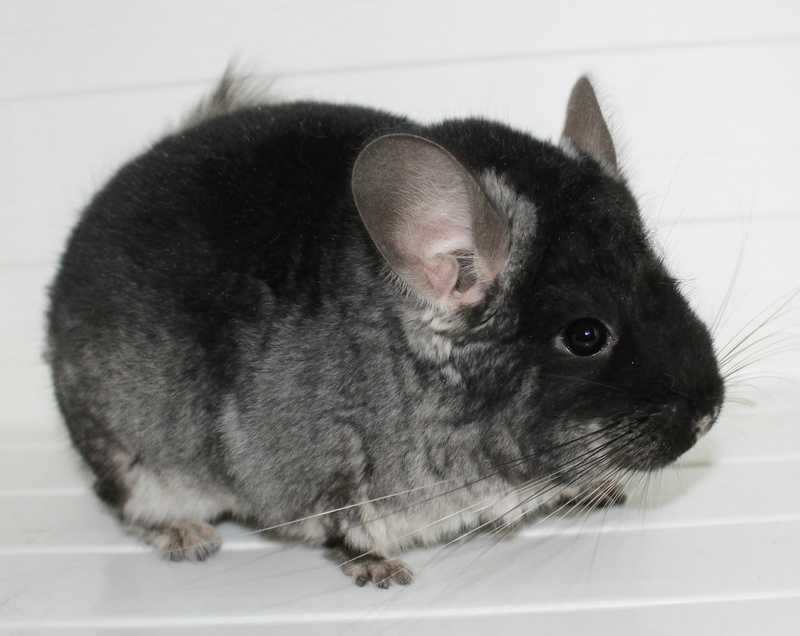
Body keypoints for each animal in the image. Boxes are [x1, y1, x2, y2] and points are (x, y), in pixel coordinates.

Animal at [46, 73, 725, 588]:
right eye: (586, 336)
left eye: (669, 282)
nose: (707, 416)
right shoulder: (317, 472)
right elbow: (339, 528)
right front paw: (380, 570)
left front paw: (595, 489)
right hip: (127, 450)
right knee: (121, 501)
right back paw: (186, 536)